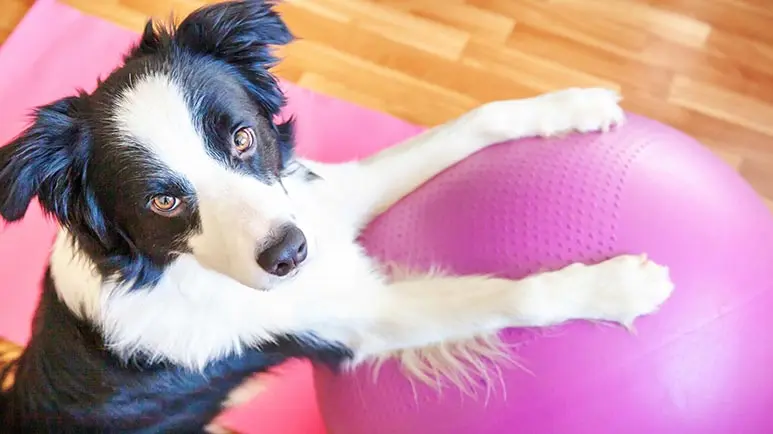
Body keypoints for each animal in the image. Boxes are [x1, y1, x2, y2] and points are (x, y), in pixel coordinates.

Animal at [0, 1, 672, 432]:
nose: (290, 254)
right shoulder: (362, 322)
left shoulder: (318, 202)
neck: (174, 269)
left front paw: (571, 106)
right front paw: (618, 286)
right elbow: (514, 297)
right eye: (162, 201)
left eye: (242, 137)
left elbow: (477, 120)